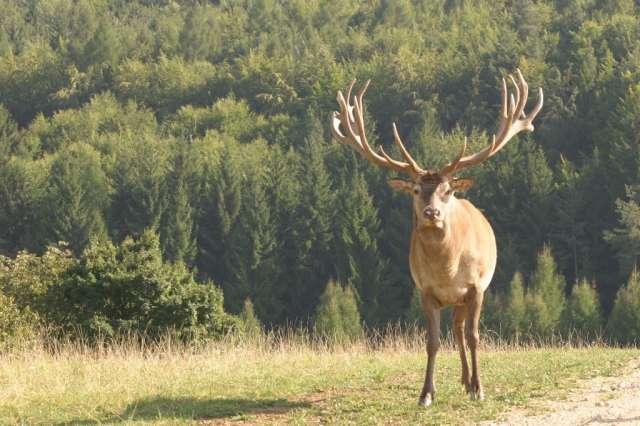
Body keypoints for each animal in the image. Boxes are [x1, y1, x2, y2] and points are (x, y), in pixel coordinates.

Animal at [330, 70, 544, 406]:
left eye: (447, 191)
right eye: (417, 190)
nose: (432, 212)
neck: (447, 269)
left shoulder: (476, 286)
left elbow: (475, 336)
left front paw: (480, 389)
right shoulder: (426, 290)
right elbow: (432, 341)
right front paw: (426, 394)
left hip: (469, 293)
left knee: (462, 330)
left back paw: (470, 382)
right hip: (453, 300)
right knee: (455, 329)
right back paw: (463, 379)